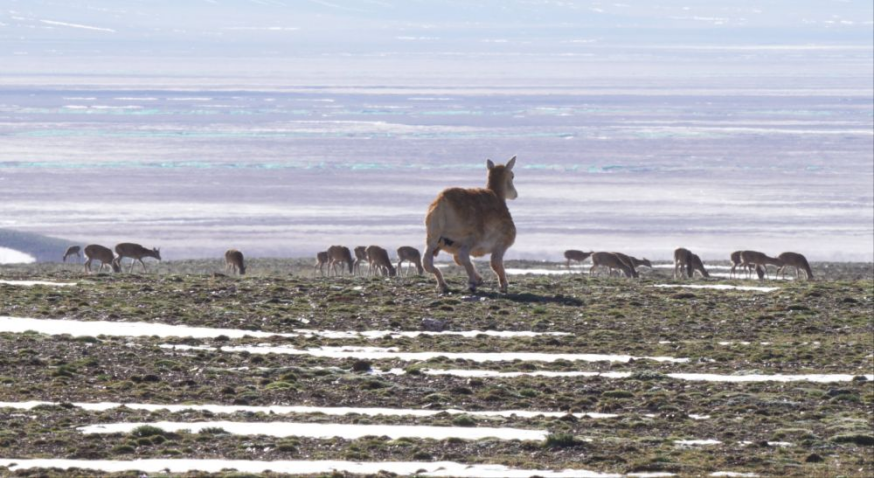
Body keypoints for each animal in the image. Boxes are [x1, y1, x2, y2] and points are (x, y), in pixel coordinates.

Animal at [423, 156, 518, 293]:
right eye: (512, 175)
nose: (515, 194)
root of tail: (442, 202)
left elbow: (458, 260)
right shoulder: (501, 244)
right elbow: (495, 263)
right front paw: (503, 285)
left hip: (433, 238)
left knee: (427, 263)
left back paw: (443, 285)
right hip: (471, 238)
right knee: (463, 255)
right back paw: (473, 282)